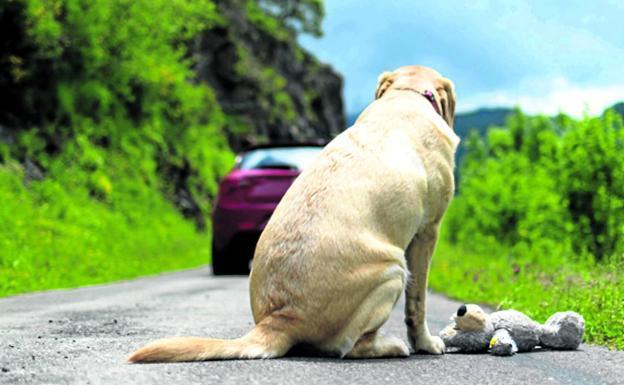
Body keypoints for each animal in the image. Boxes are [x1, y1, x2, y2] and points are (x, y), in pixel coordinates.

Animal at [128, 64, 458, 362]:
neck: (406, 95)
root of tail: (280, 319)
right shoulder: (428, 231)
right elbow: (418, 302)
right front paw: (426, 343)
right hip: (392, 268)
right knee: (350, 347)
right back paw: (391, 346)